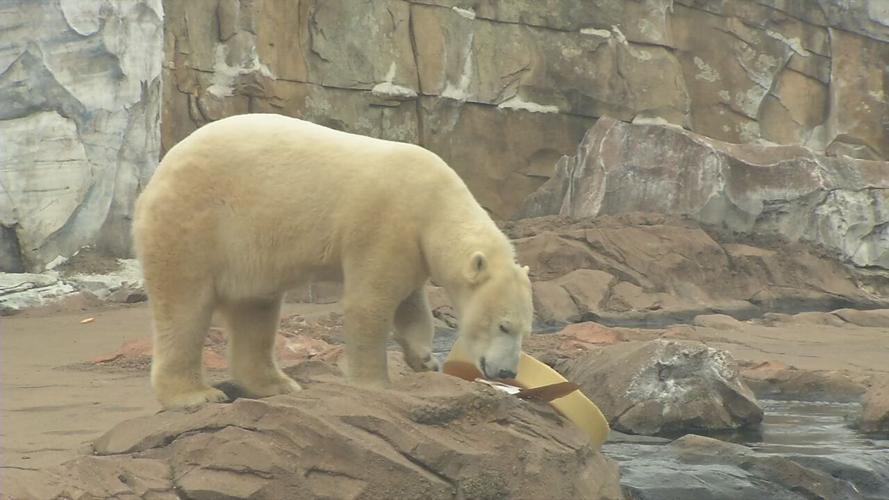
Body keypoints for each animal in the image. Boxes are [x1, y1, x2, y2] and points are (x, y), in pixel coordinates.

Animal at [133, 113, 534, 409]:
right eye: (503, 326)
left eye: (525, 330)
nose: (506, 372)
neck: (435, 200)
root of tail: (159, 172)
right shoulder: (385, 224)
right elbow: (370, 303)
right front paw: (375, 384)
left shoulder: (412, 246)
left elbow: (412, 306)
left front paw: (424, 359)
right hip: (197, 222)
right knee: (185, 306)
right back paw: (195, 395)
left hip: (249, 250)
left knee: (255, 311)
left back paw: (278, 384)